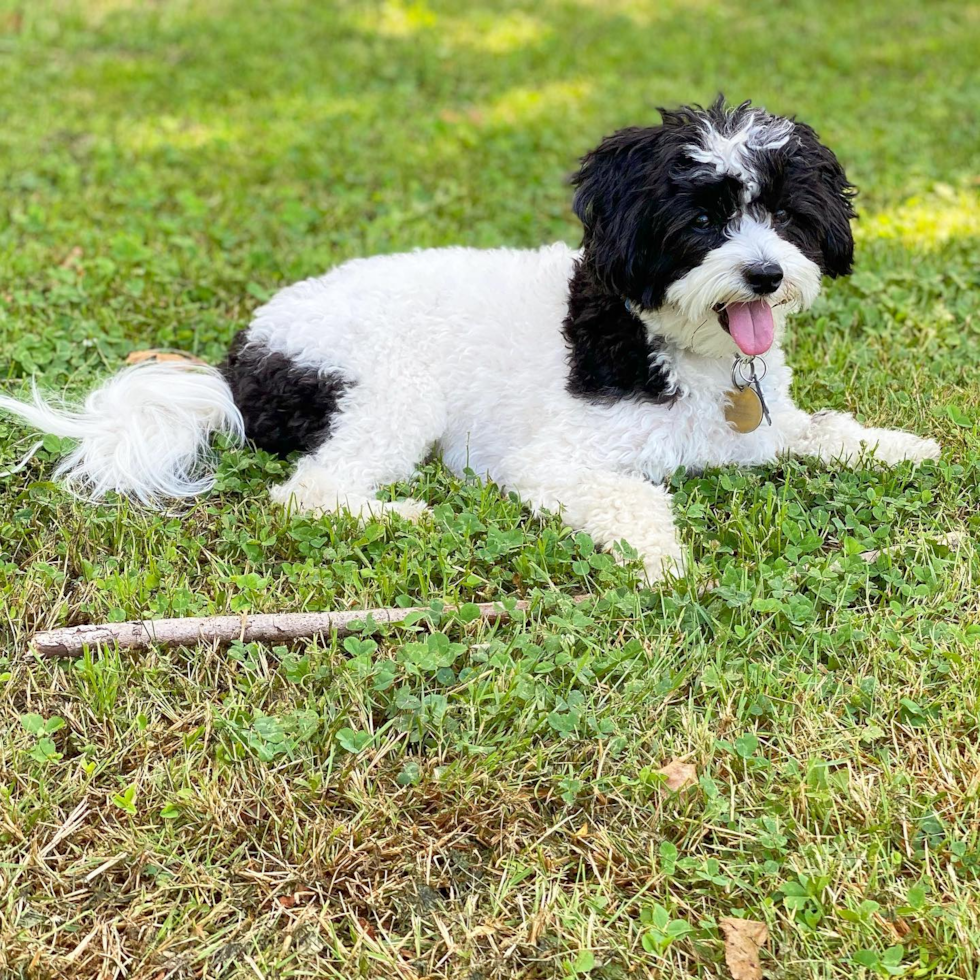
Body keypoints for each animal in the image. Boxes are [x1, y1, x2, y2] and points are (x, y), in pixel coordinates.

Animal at [0, 99, 940, 580]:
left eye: (783, 215)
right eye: (704, 221)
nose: (766, 275)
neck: (673, 345)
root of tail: (240, 363)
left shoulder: (770, 423)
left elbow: (827, 430)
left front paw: (900, 445)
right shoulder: (549, 459)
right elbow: (636, 497)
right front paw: (660, 555)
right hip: (393, 392)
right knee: (308, 492)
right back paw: (402, 514)